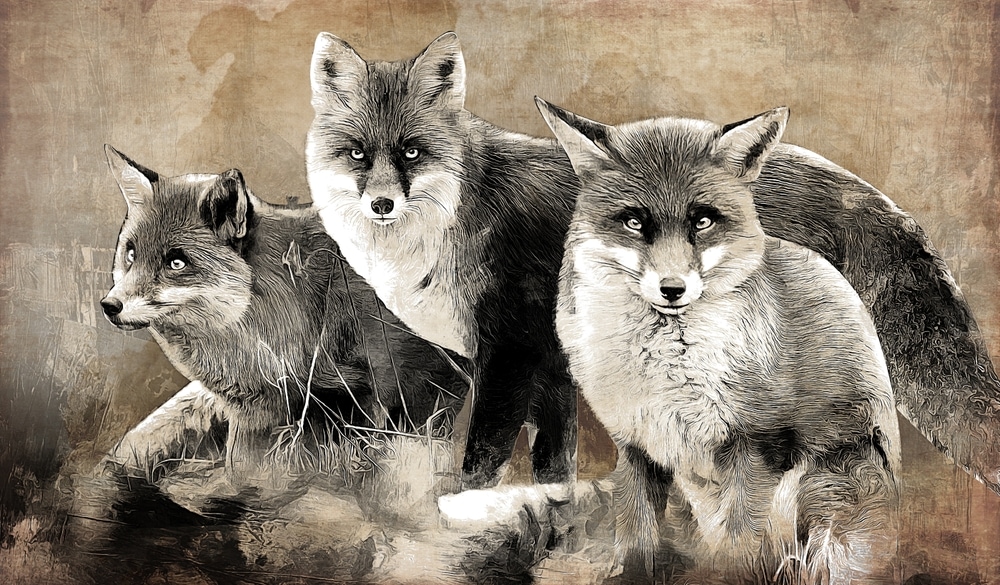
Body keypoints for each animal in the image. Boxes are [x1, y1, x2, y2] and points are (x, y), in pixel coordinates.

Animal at [99, 146, 467, 478]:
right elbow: (241, 469)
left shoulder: (362, 390)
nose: (109, 306)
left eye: (176, 263)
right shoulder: (255, 412)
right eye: (130, 254)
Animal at [305, 31, 1000, 495]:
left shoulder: (512, 357)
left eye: (412, 152)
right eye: (358, 154)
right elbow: (554, 465)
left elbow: (482, 460)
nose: (383, 203)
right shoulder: (555, 365)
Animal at [538, 100, 902, 583]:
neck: (666, 370)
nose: (672, 289)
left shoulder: (755, 444)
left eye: (703, 220)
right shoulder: (637, 446)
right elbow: (636, 536)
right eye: (634, 222)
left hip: (818, 481)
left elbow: (736, 546)